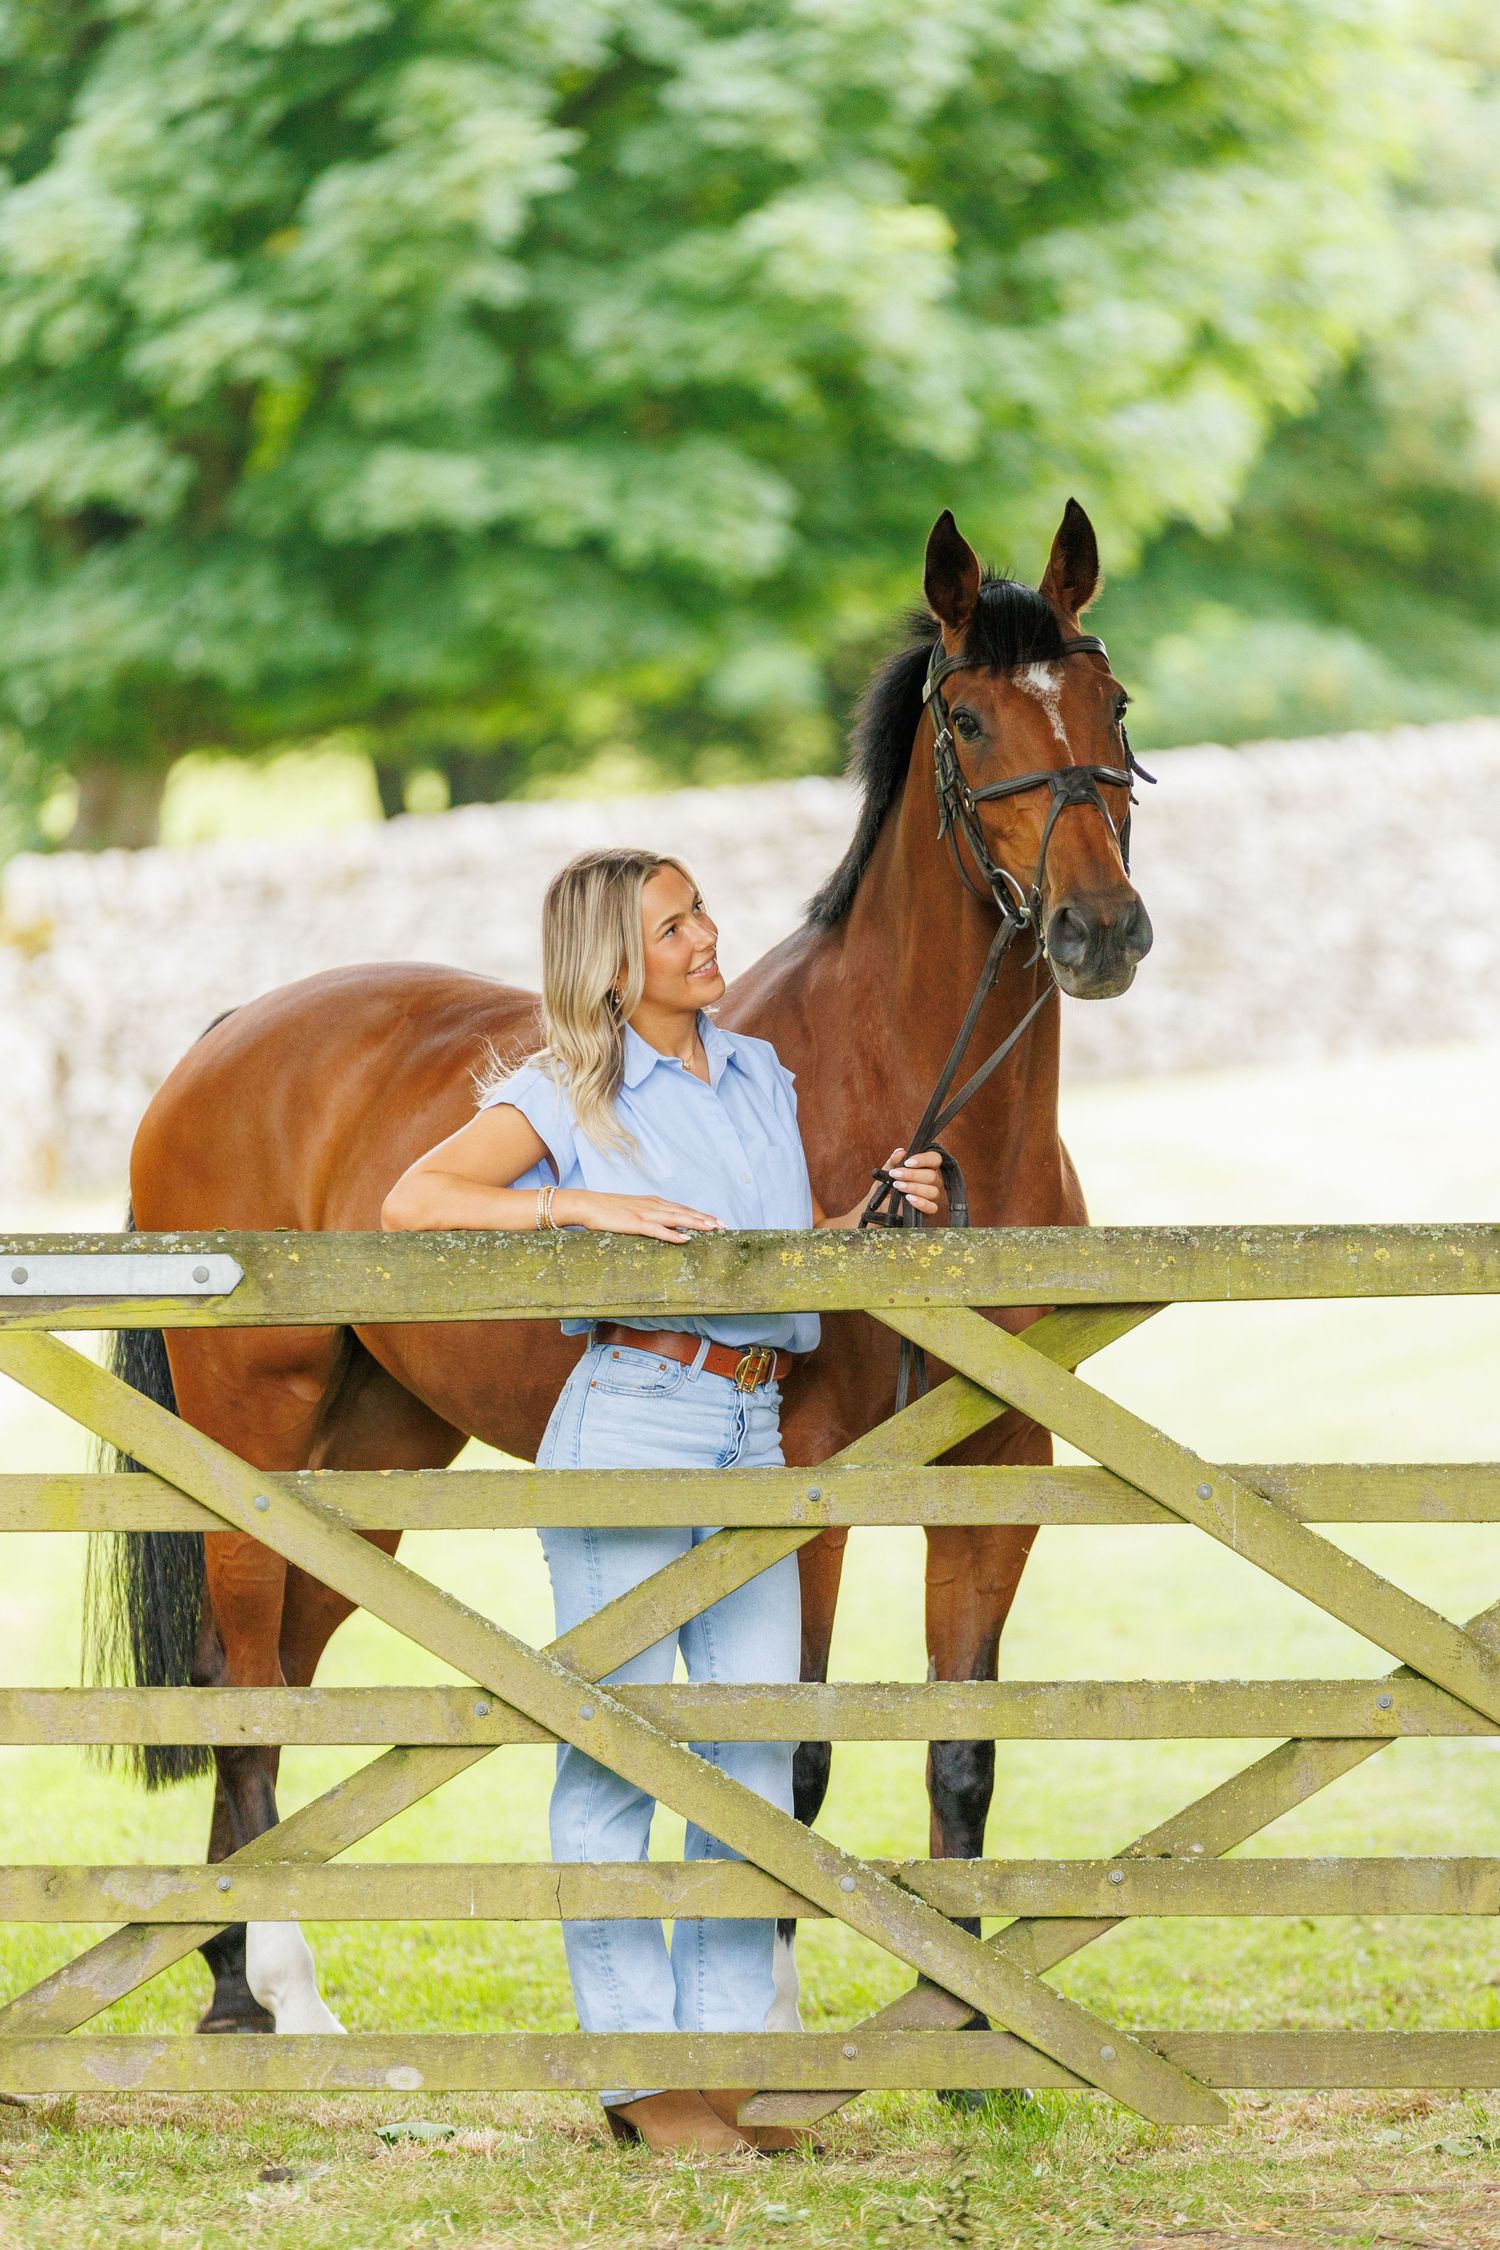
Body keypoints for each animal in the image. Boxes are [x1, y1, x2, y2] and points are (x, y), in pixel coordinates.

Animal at [91, 499, 1151, 2039]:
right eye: (965, 718)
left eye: (1109, 701)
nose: (1099, 930)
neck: (919, 1121)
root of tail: (230, 1035)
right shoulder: (803, 1481)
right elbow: (793, 1760)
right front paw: (772, 2025)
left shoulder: (998, 1471)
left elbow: (963, 1749)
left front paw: (969, 2031)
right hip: (254, 1434)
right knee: (245, 1687)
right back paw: (281, 1992)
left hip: (373, 1455)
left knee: (287, 1668)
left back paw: (235, 1981)